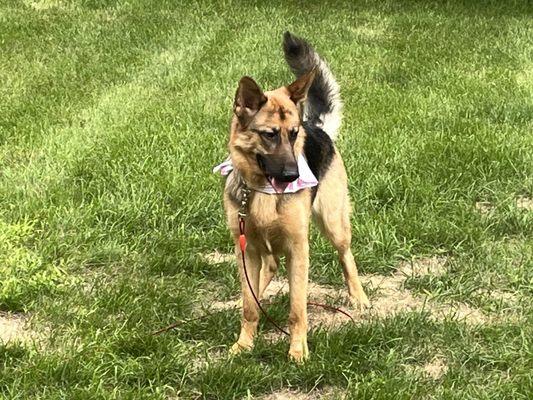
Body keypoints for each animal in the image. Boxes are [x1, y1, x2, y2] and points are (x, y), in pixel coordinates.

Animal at [222, 32, 368, 360]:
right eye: (269, 134)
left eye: (293, 133)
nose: (292, 175)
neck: (262, 190)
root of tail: (316, 126)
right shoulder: (245, 248)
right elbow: (249, 305)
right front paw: (244, 344)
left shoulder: (298, 249)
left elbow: (297, 309)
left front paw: (298, 351)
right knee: (265, 272)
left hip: (334, 223)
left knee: (346, 256)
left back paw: (359, 296)